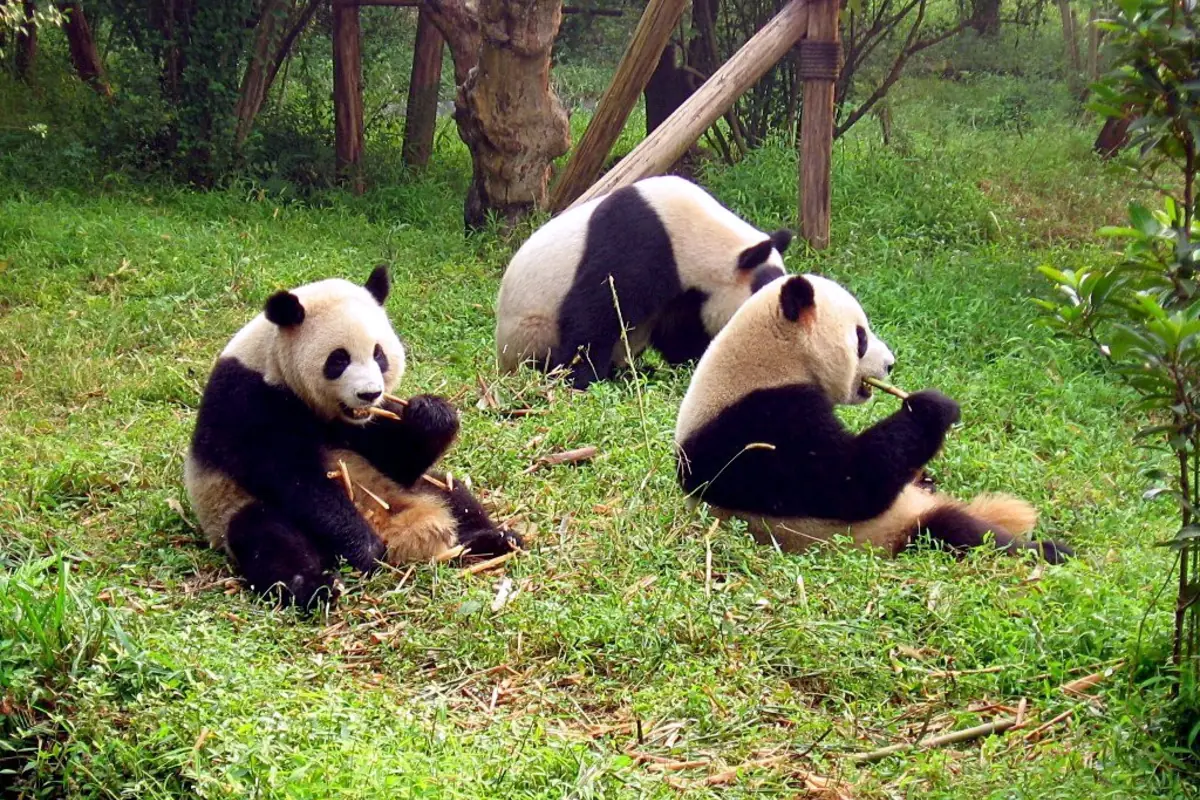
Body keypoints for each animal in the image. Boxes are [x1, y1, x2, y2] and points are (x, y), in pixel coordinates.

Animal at [184, 266, 521, 607]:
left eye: (379, 355)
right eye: (339, 359)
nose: (369, 393)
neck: (273, 362)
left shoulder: (364, 423)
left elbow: (398, 459)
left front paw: (431, 414)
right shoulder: (247, 401)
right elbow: (295, 479)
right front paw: (363, 547)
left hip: (408, 489)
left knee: (453, 493)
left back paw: (495, 538)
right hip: (230, 506)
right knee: (269, 537)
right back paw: (317, 586)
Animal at [495, 175, 793, 389]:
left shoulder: (684, 292)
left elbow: (680, 330)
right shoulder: (638, 243)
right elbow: (594, 314)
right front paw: (580, 378)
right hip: (529, 330)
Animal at [673, 273, 1073, 563]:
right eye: (861, 337)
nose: (890, 364)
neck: (770, 358)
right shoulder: (760, 422)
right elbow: (849, 482)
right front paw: (931, 407)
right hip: (894, 529)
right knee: (958, 531)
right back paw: (1048, 551)